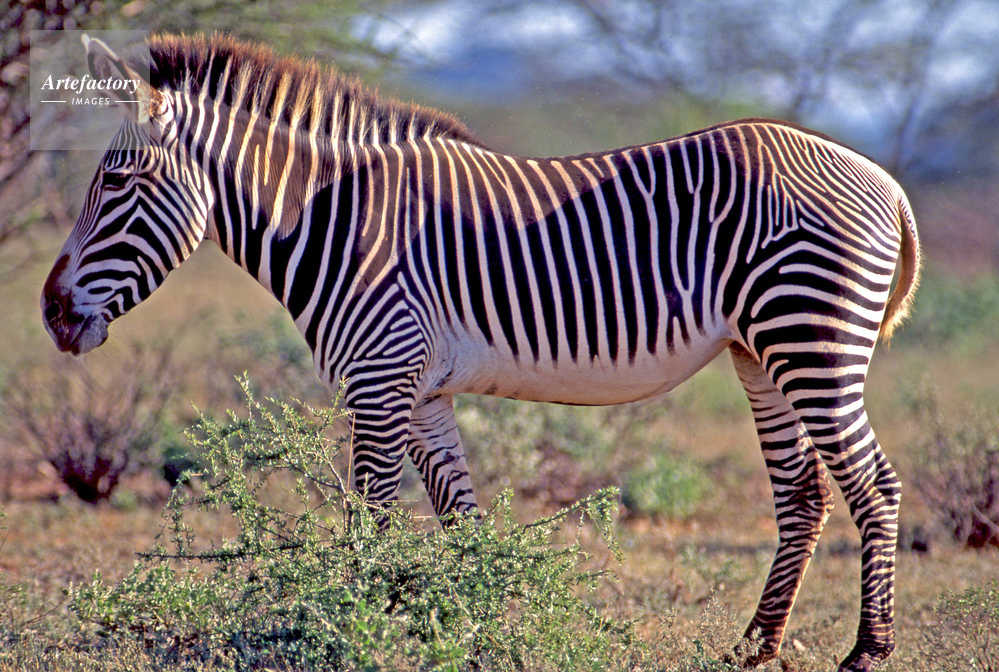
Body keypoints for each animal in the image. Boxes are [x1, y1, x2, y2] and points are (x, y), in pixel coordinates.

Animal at [42, 34, 920, 672]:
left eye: (115, 182)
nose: (50, 313)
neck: (332, 219)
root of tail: (882, 180)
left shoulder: (379, 380)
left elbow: (372, 521)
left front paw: (353, 631)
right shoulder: (422, 391)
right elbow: (459, 521)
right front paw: (475, 626)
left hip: (810, 339)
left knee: (872, 485)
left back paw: (867, 650)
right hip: (757, 350)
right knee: (803, 493)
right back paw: (753, 646)